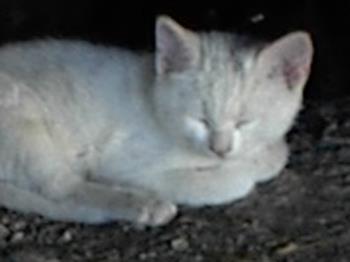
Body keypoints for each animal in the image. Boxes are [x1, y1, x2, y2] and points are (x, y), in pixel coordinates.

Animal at [0, 15, 314, 226]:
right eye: (200, 119)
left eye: (244, 122)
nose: (219, 149)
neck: (152, 95)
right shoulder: (123, 164)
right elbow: (232, 181)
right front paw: (242, 171)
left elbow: (276, 152)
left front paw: (262, 155)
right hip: (22, 119)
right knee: (61, 187)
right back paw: (144, 206)